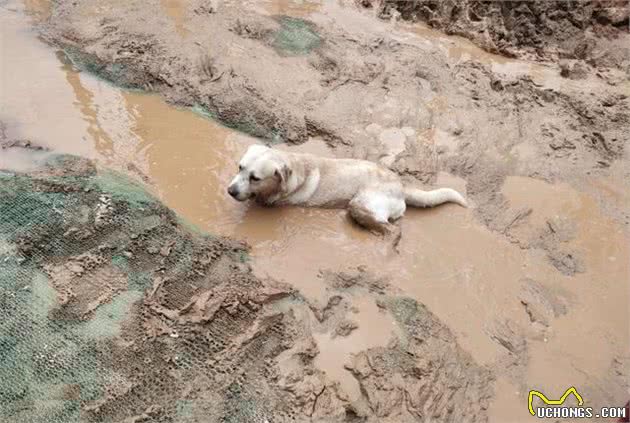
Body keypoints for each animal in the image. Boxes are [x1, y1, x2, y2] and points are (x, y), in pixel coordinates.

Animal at [230, 145, 466, 237]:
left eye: (255, 178)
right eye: (239, 167)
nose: (230, 190)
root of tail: (401, 185)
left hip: (360, 204)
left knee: (391, 230)